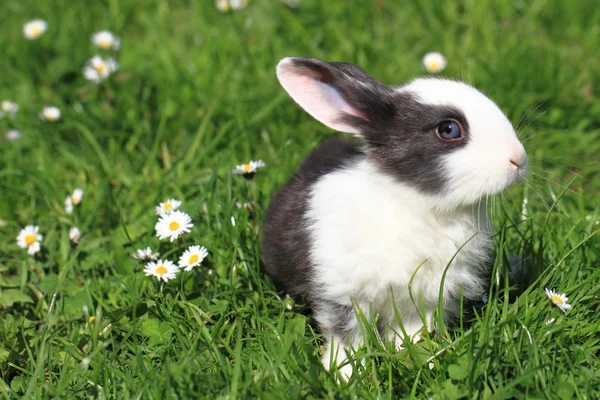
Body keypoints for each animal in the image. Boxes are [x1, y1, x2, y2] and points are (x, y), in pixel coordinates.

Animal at [260, 57, 528, 378]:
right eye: (449, 129)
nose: (518, 159)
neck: (418, 203)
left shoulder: (423, 298)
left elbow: (413, 331)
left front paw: (417, 357)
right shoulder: (341, 293)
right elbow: (346, 336)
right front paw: (346, 376)